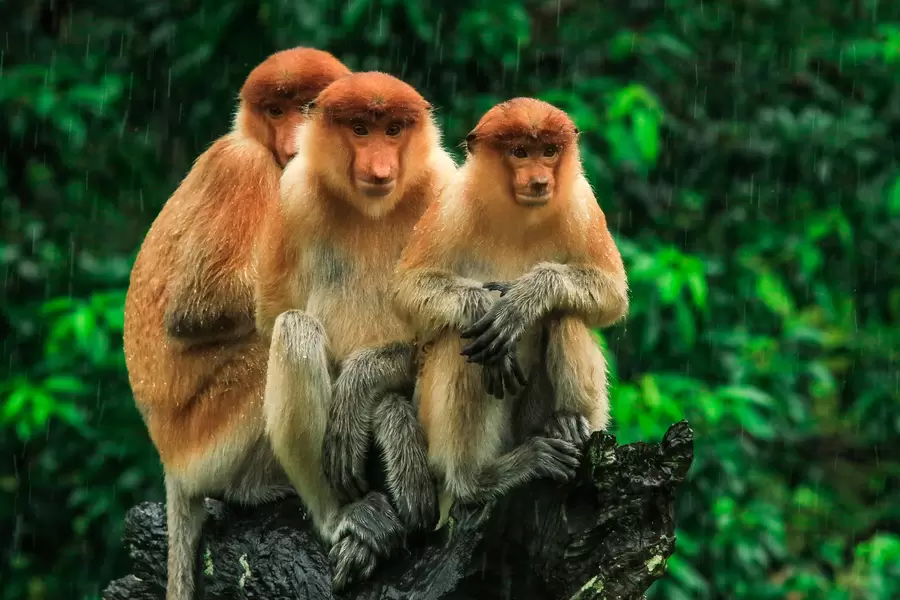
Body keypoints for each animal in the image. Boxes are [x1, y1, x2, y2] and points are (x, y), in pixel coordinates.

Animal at [122, 47, 351, 600]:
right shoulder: (242, 168)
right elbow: (195, 308)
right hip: (207, 437)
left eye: (308, 106)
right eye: (276, 110)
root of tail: (169, 460)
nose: (294, 137)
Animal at [253, 71, 458, 591]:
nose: (380, 167)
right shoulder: (291, 194)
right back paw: (349, 519)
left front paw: (363, 390)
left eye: (393, 130)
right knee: (295, 329)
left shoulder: (444, 188)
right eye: (361, 130)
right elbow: (273, 314)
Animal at [392, 97, 629, 514]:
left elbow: (612, 293)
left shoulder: (582, 202)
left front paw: (522, 301)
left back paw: (568, 425)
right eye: (520, 152)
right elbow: (408, 289)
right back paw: (478, 479)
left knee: (565, 315)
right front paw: (481, 306)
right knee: (462, 341)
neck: (519, 213)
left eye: (549, 151)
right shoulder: (451, 204)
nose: (540, 182)